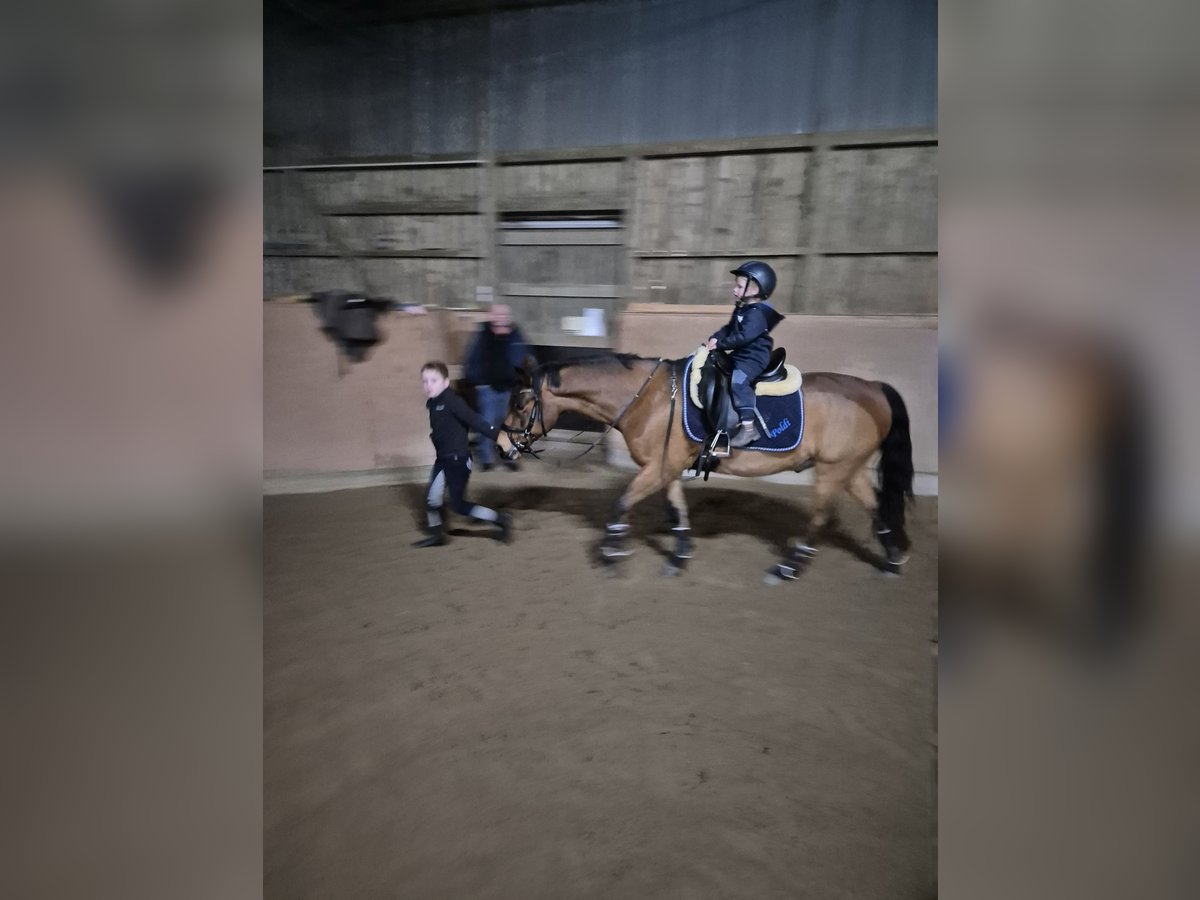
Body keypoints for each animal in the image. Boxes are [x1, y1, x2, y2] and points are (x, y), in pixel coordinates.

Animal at [496, 350, 916, 578]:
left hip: (832, 471)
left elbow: (621, 503)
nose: (501, 446)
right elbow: (677, 511)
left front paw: (611, 553)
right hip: (849, 468)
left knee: (821, 517)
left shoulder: (657, 469)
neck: (648, 400)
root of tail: (873, 388)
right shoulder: (666, 468)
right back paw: (892, 561)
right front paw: (679, 556)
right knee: (877, 509)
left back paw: (788, 568)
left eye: (519, 403)